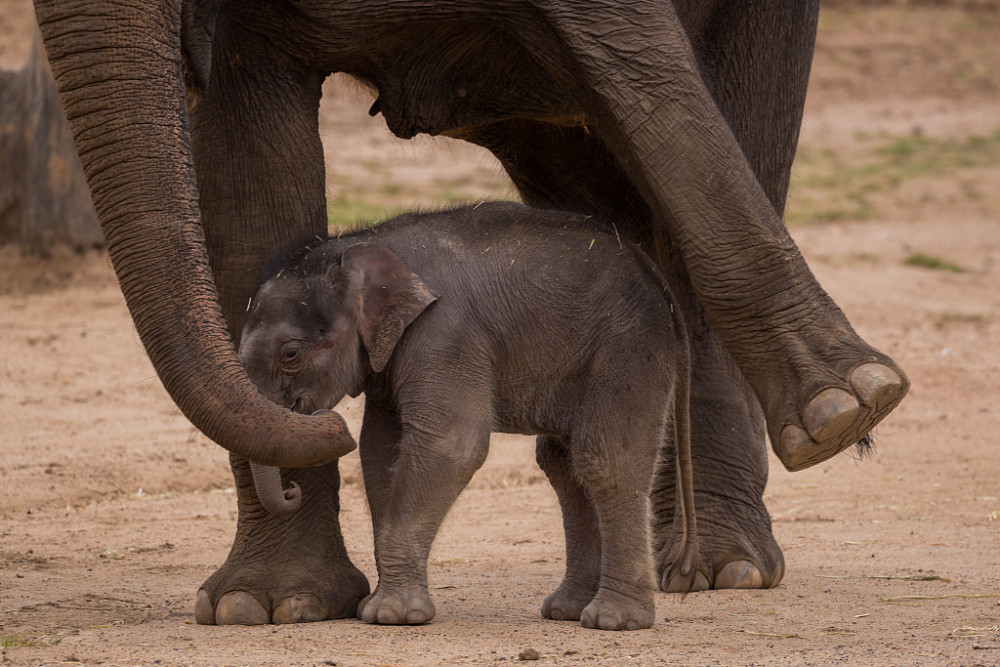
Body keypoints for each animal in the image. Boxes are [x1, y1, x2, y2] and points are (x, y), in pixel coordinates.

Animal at [240, 202, 696, 632]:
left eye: (291, 354)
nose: (292, 490)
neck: (367, 244)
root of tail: (661, 285)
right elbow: (379, 452)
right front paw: (378, 608)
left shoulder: (445, 333)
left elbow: (451, 444)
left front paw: (391, 615)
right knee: (563, 466)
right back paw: (566, 610)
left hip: (628, 346)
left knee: (604, 462)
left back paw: (612, 621)